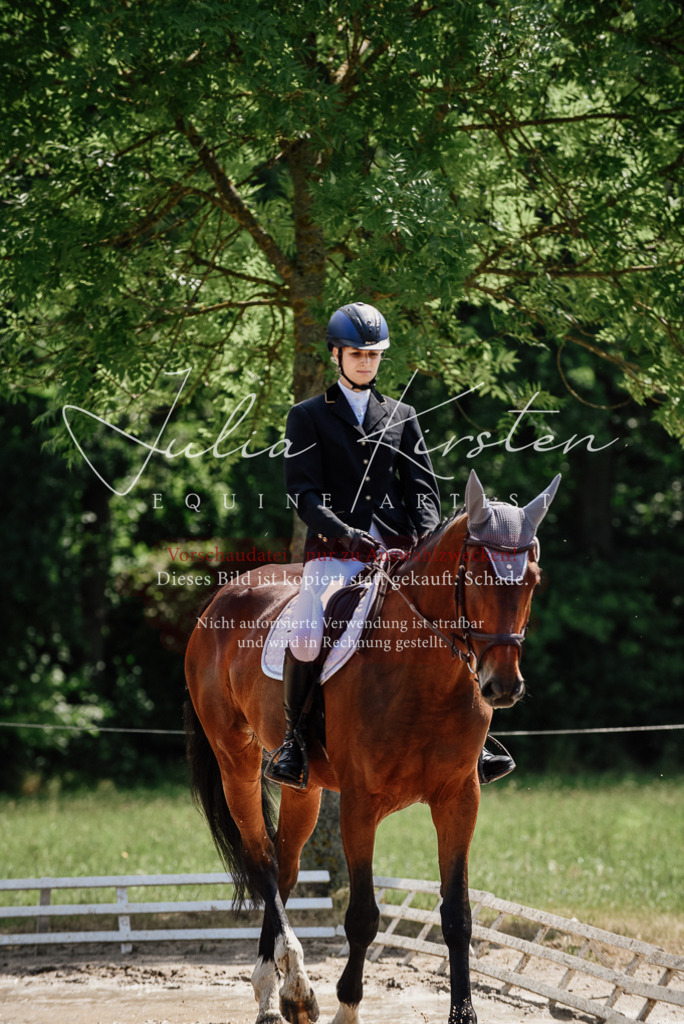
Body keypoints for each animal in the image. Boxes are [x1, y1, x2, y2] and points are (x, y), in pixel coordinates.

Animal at [184, 469, 560, 1024]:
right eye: (477, 576)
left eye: (532, 580)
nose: (503, 687)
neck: (425, 679)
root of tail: (221, 596)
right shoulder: (360, 804)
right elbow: (362, 914)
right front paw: (347, 1006)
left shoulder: (459, 800)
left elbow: (458, 915)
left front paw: (463, 1013)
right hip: (236, 761)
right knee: (263, 861)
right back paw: (290, 990)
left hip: (305, 787)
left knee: (285, 866)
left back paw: (277, 990)